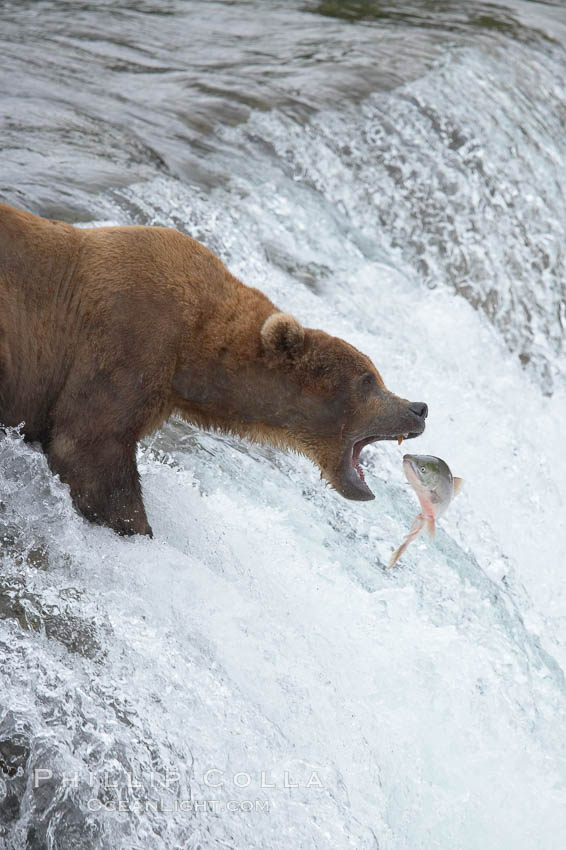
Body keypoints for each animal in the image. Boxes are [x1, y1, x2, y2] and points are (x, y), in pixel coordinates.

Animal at [0, 205, 426, 532]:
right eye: (368, 380)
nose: (418, 408)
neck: (193, 351)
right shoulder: (128, 341)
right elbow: (88, 448)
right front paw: (137, 528)